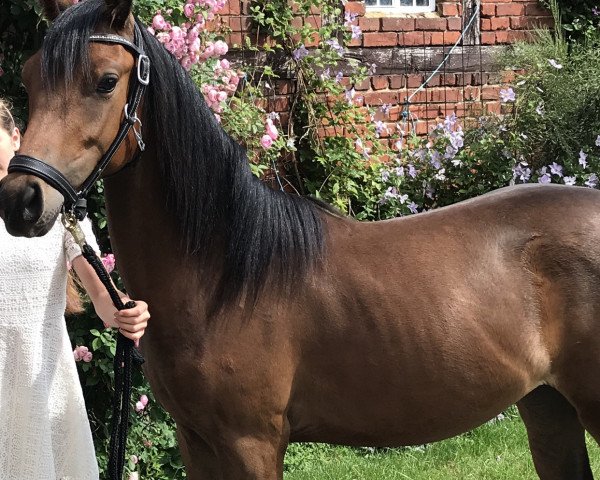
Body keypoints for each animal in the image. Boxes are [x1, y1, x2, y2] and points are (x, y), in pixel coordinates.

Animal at [1, 0, 600, 478]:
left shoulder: (252, 445)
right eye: (29, 79)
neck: (223, 276)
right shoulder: (198, 443)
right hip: (548, 407)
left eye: (105, 80)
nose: (21, 199)